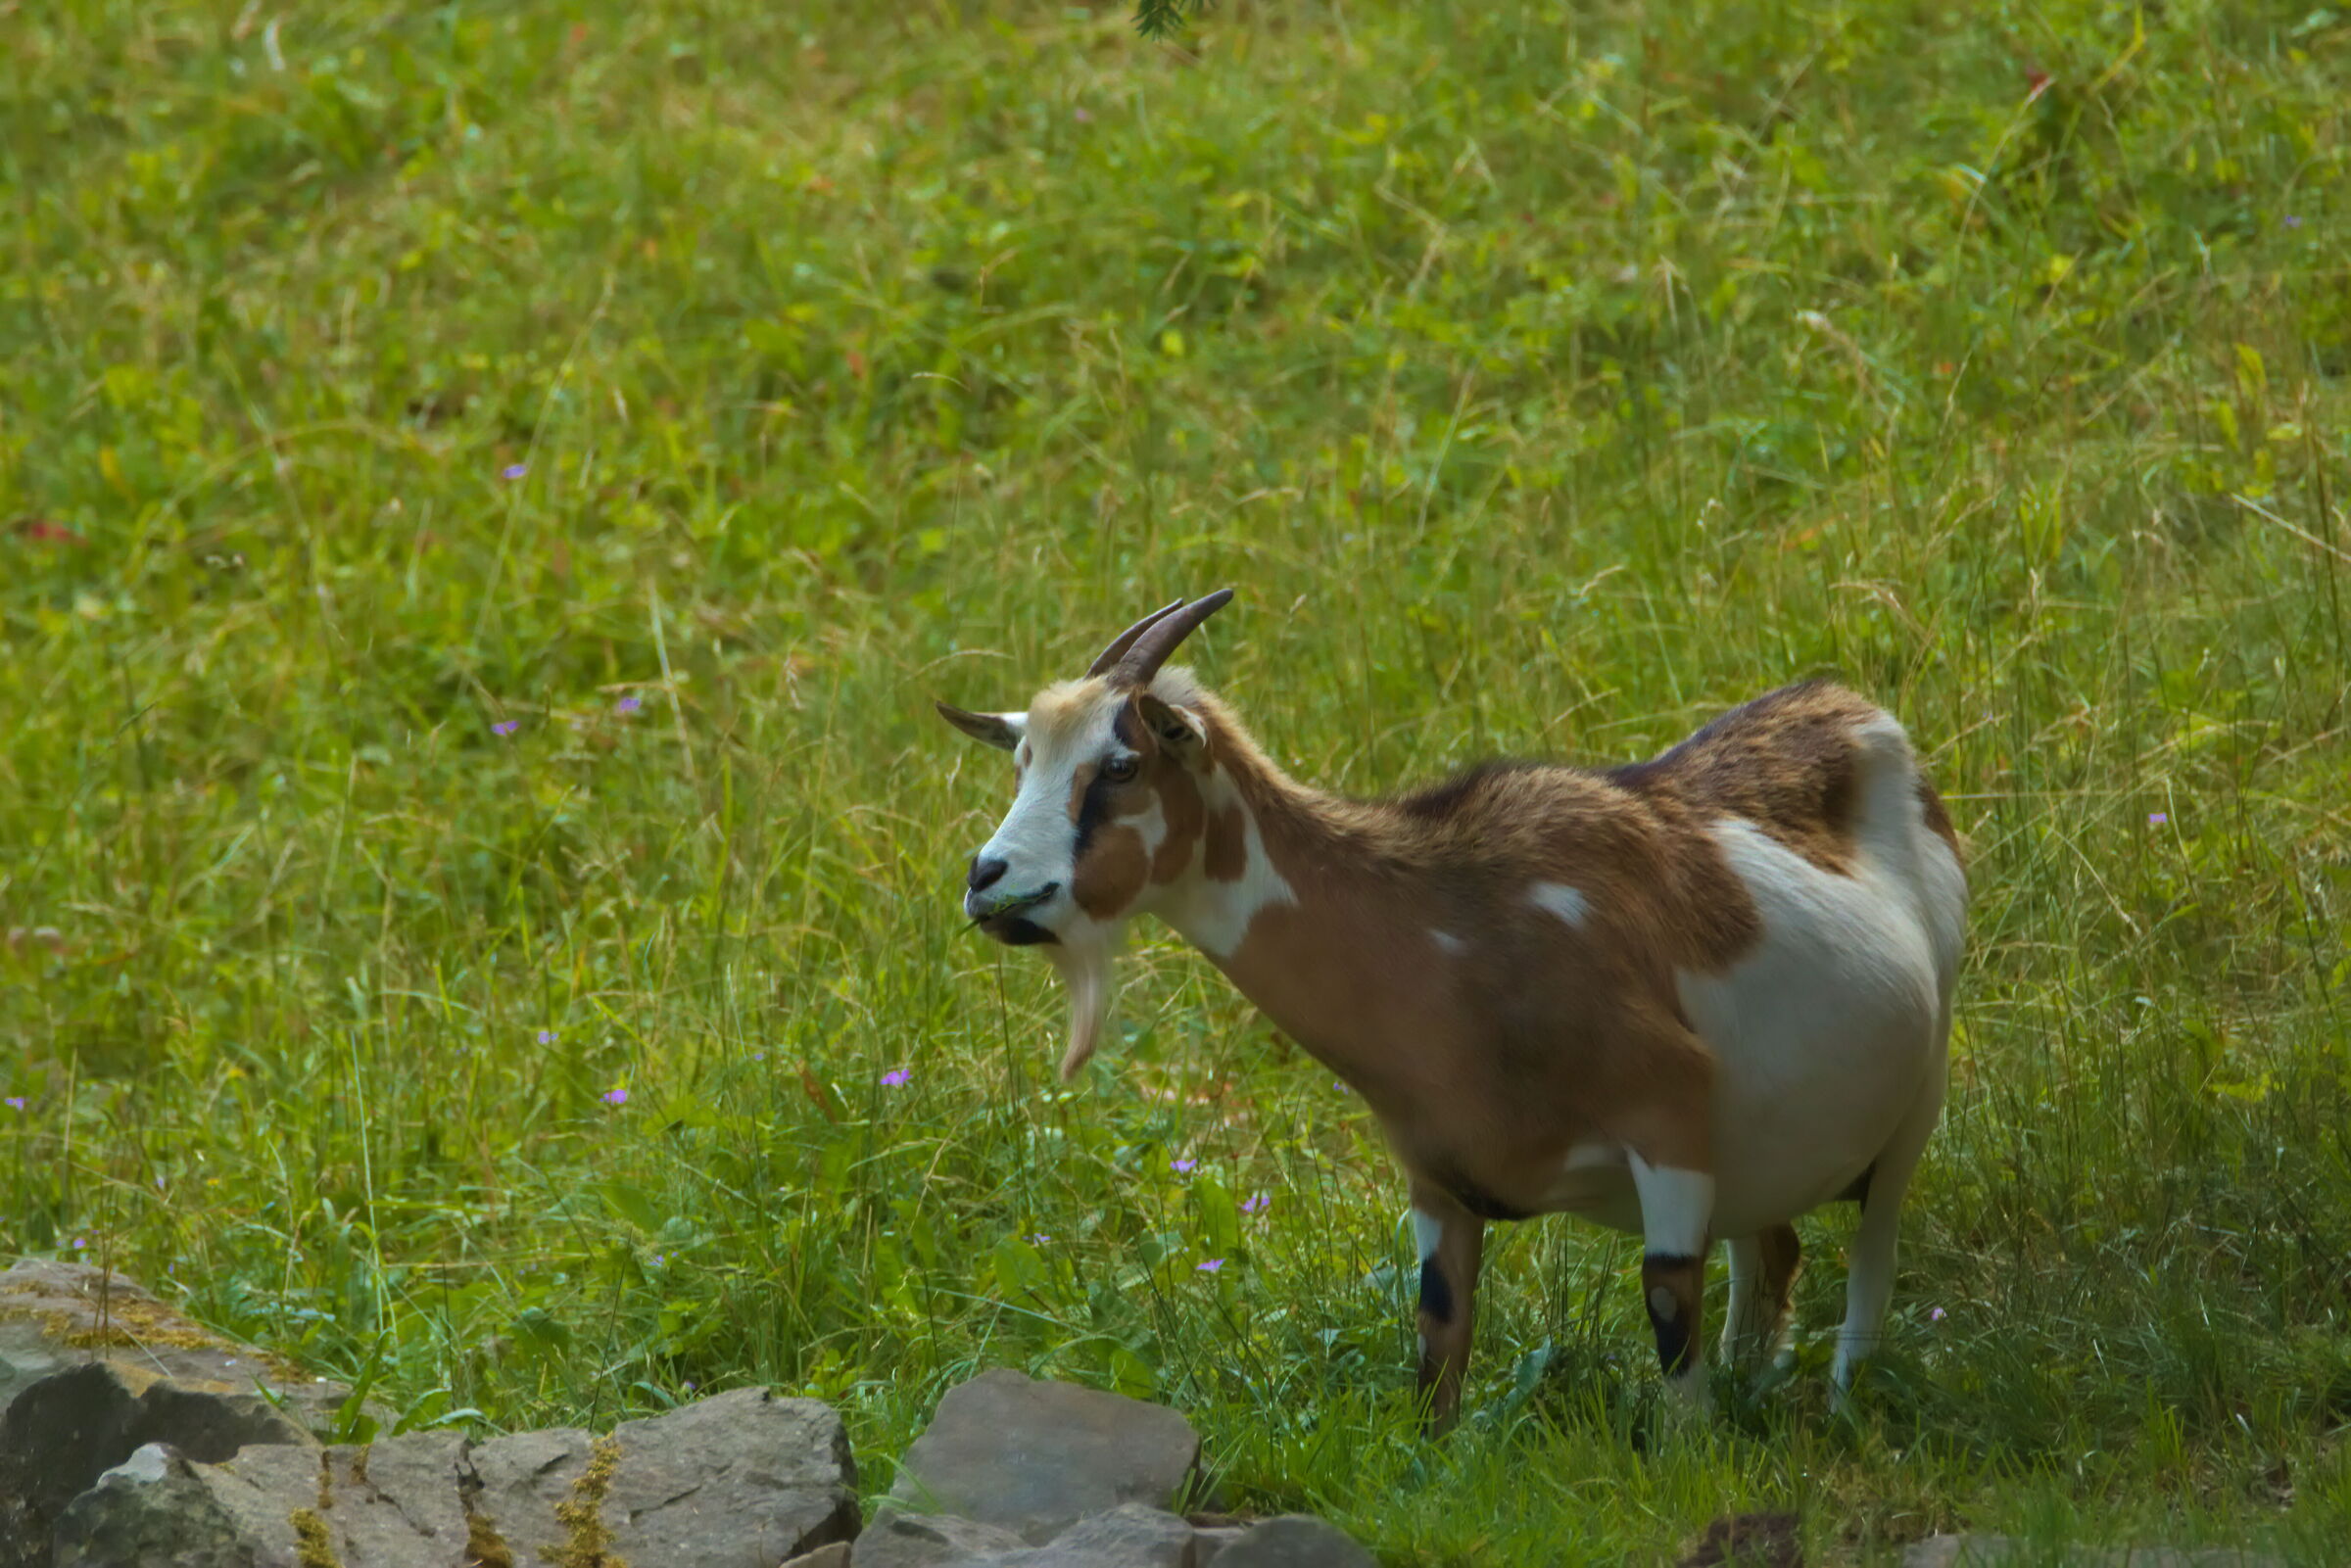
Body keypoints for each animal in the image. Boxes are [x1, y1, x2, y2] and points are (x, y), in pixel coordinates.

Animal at [936, 592, 1967, 1430]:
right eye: (1023, 760)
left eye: (1121, 764)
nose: (988, 878)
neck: (1451, 931)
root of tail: (1853, 707)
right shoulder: (1434, 1173)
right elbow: (1438, 1332)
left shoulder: (1669, 1118)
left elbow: (1669, 1300)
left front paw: (1691, 1458)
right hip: (1765, 1158)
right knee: (1773, 1253)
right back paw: (1759, 1386)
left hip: (1921, 1086)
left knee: (1873, 1246)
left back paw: (1843, 1400)